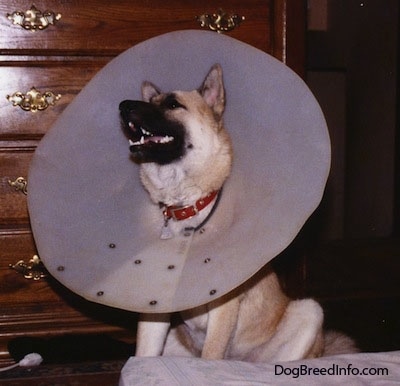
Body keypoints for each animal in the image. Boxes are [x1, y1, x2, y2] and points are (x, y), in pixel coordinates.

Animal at [118, 64, 356, 362]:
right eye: (151, 101)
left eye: (173, 104)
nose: (123, 106)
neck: (188, 205)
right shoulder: (156, 312)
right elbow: (144, 357)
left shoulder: (222, 309)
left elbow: (211, 355)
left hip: (309, 312)